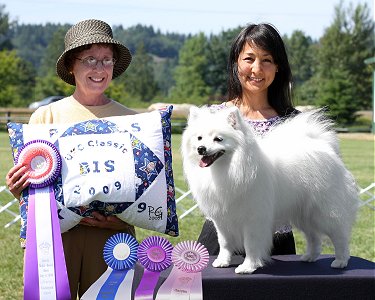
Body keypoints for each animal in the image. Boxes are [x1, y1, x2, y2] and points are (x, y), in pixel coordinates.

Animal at [182, 106, 358, 274]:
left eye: (218, 139)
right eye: (199, 138)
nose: (201, 148)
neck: (228, 169)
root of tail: (325, 147)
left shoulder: (253, 218)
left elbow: (251, 244)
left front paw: (248, 267)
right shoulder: (222, 219)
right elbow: (224, 242)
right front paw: (222, 262)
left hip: (325, 212)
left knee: (340, 236)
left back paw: (341, 261)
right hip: (304, 214)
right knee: (314, 237)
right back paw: (310, 257)